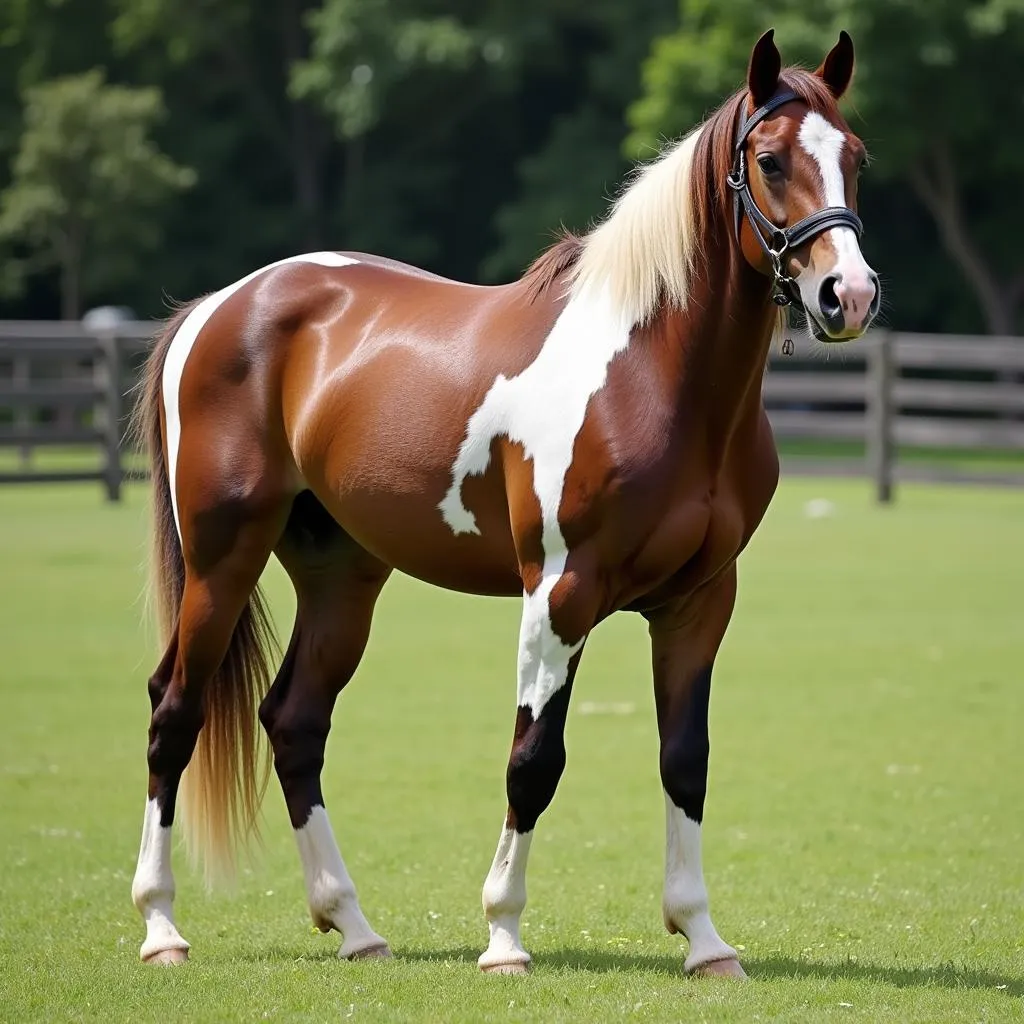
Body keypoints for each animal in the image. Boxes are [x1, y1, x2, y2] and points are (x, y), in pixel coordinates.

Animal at [128, 28, 880, 978]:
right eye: (771, 160)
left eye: (855, 157)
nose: (849, 295)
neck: (654, 376)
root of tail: (217, 308)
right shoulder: (560, 594)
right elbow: (534, 760)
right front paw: (504, 936)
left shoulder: (699, 602)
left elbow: (685, 761)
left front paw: (704, 940)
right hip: (222, 560)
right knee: (173, 712)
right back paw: (161, 927)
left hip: (342, 575)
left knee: (293, 721)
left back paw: (355, 926)